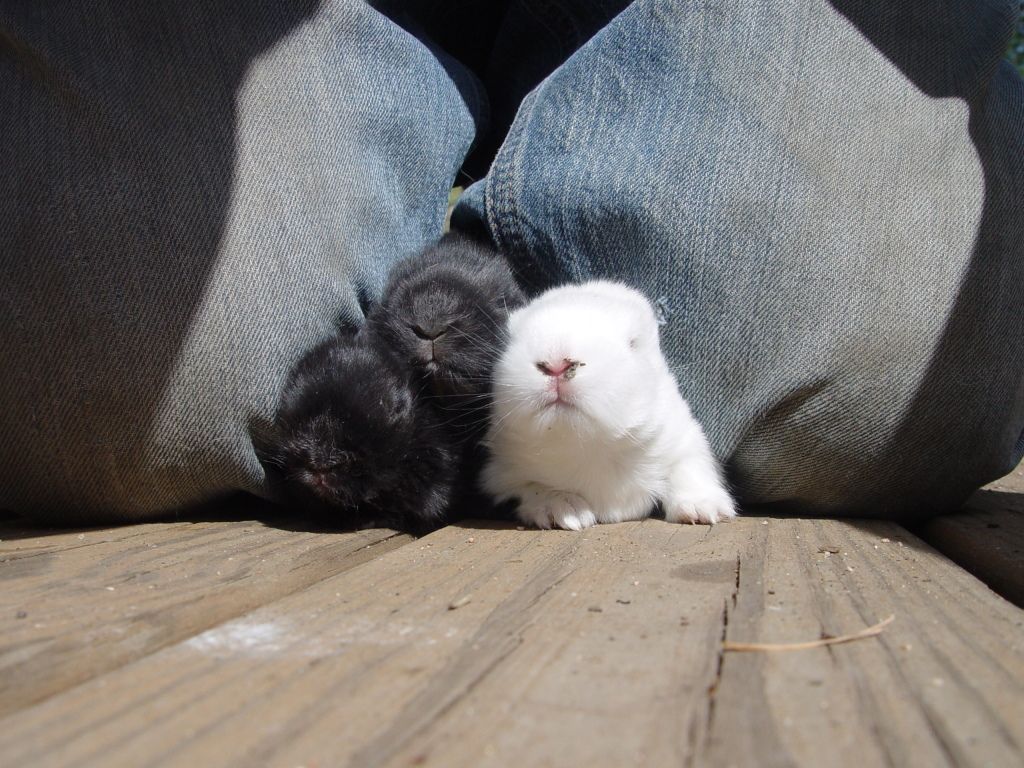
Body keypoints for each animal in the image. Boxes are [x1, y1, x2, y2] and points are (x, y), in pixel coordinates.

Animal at [481, 280, 737, 530]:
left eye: (633, 343)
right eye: (509, 341)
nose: (556, 364)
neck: (586, 447)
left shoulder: (683, 440)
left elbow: (687, 470)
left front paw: (703, 510)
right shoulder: (501, 475)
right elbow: (533, 487)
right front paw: (565, 510)